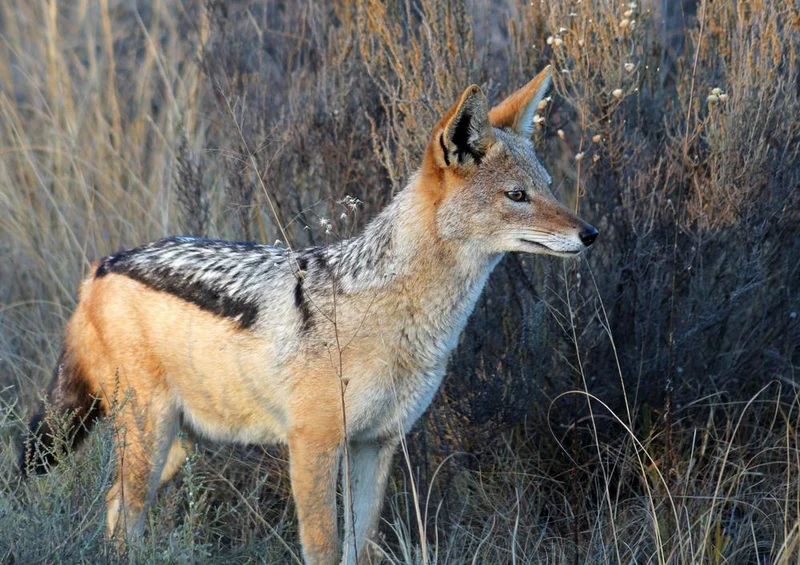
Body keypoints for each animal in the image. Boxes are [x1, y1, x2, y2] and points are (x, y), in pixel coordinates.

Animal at [21, 66, 597, 565]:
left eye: (548, 185)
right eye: (517, 196)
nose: (590, 234)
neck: (404, 320)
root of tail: (102, 265)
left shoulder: (376, 445)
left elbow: (360, 548)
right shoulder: (313, 446)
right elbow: (323, 549)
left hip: (174, 448)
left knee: (114, 506)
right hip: (149, 435)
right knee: (124, 517)